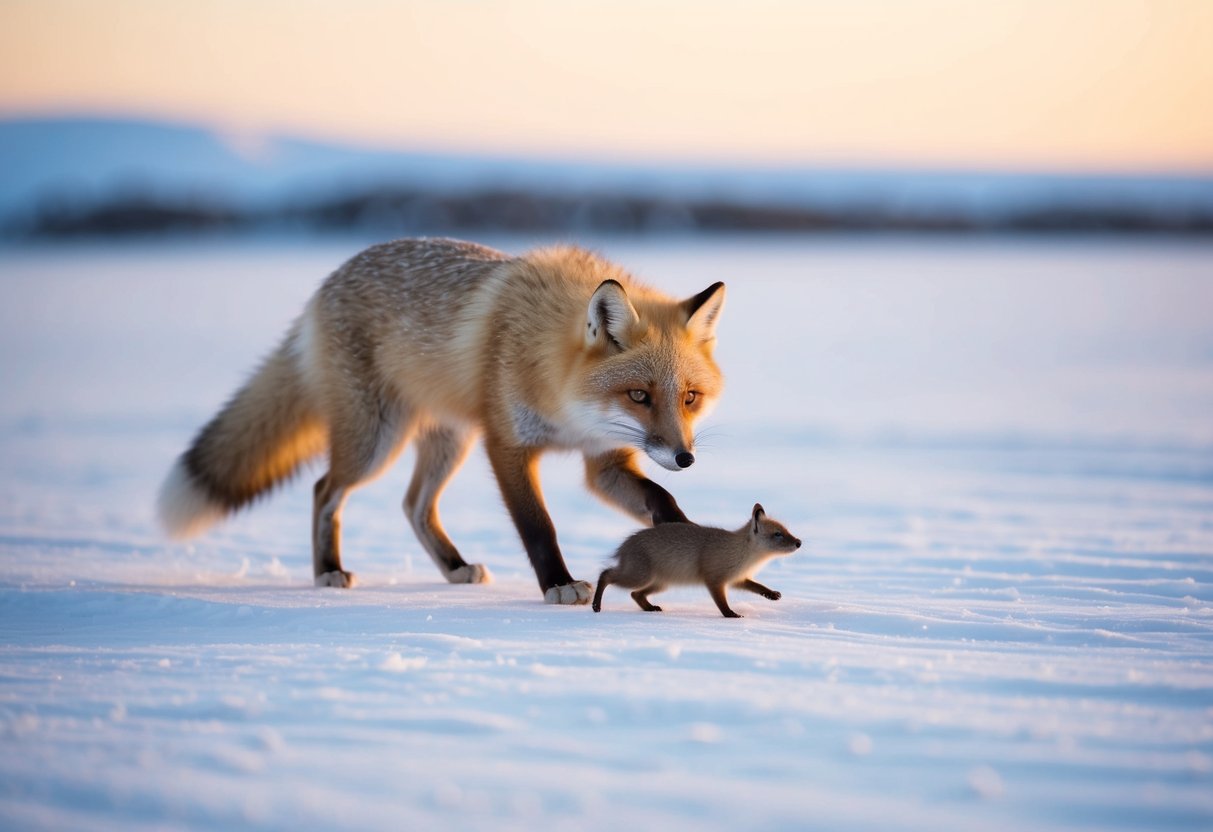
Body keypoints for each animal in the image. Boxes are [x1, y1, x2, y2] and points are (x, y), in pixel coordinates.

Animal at [157, 237, 726, 604]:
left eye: (690, 398)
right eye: (639, 395)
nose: (685, 457)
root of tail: (329, 280)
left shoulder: (603, 461)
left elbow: (661, 499)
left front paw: (684, 540)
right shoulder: (506, 444)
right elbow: (538, 524)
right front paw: (558, 585)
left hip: (448, 440)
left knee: (414, 506)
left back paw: (453, 567)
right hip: (376, 441)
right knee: (324, 490)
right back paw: (329, 571)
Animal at [591, 504, 801, 617]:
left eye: (786, 530)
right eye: (778, 534)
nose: (799, 542)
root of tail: (625, 545)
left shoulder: (737, 579)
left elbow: (758, 587)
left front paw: (772, 594)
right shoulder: (715, 580)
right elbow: (722, 604)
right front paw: (731, 615)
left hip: (660, 584)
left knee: (636, 595)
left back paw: (651, 608)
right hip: (639, 577)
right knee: (605, 575)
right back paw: (596, 606)